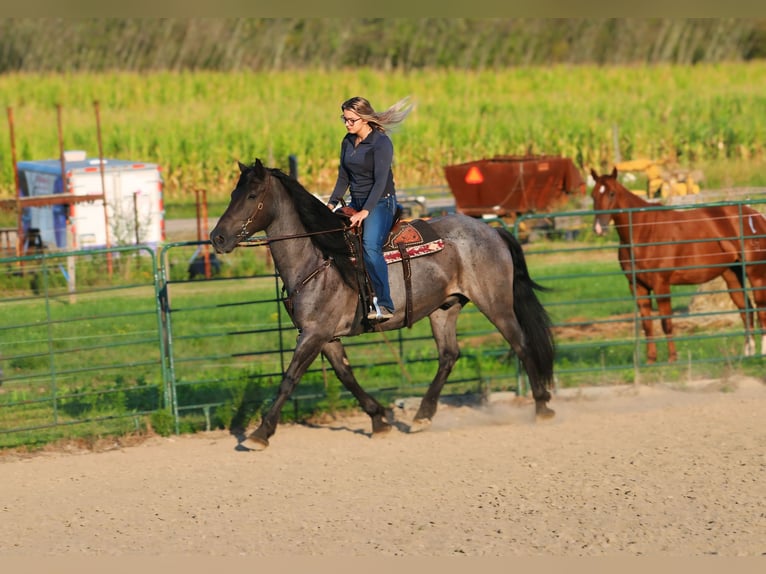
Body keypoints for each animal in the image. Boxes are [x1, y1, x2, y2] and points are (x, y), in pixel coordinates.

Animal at [210, 160, 560, 452]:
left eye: (251, 194)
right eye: (232, 193)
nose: (217, 238)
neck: (319, 258)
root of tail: (492, 230)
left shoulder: (313, 334)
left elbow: (289, 379)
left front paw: (260, 434)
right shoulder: (325, 337)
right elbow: (346, 376)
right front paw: (378, 419)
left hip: (495, 303)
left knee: (521, 344)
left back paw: (543, 406)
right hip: (445, 308)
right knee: (449, 355)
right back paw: (422, 416)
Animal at [592, 168, 766, 364]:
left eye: (611, 193)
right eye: (593, 195)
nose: (599, 228)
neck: (644, 230)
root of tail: (756, 216)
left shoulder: (661, 284)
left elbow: (666, 322)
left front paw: (672, 359)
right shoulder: (638, 286)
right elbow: (647, 325)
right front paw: (651, 361)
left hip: (756, 274)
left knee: (761, 309)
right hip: (732, 276)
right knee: (746, 310)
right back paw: (748, 354)